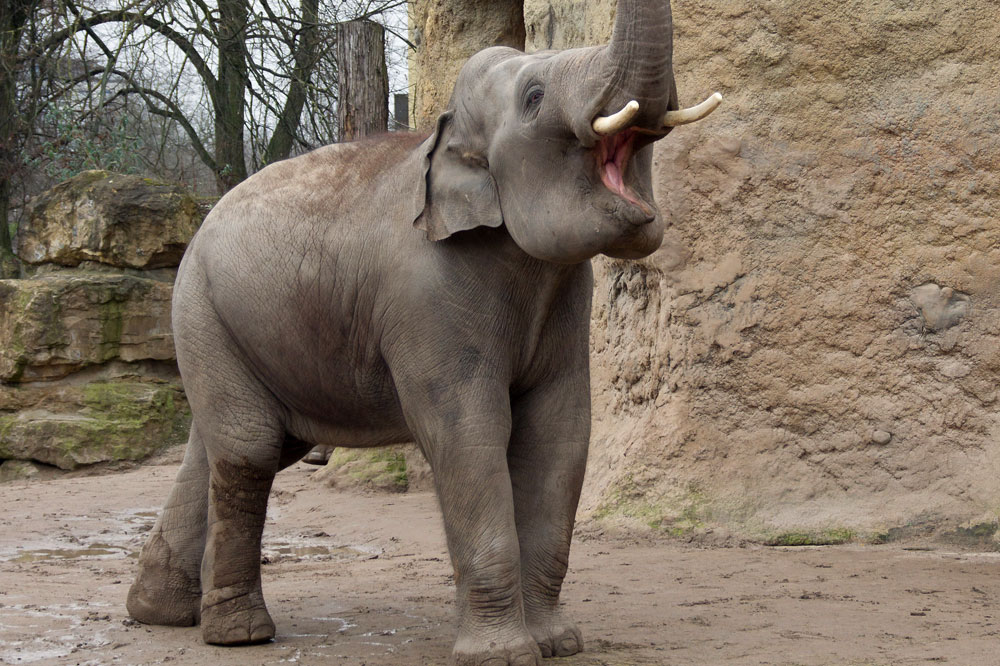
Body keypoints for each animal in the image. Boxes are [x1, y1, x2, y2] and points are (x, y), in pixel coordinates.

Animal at [125, 2, 720, 660]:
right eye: (535, 97)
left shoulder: (568, 299)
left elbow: (559, 434)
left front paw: (558, 644)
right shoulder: (426, 298)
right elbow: (469, 435)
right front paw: (504, 657)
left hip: (223, 328)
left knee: (224, 446)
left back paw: (159, 612)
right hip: (201, 309)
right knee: (248, 450)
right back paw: (239, 634)